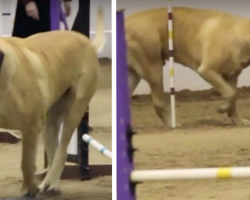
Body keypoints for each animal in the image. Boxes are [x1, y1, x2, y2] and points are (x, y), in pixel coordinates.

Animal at [0, 5, 106, 197]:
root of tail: (88, 42)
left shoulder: (31, 127)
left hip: (74, 110)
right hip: (50, 122)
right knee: (54, 150)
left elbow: (26, 163)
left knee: (62, 150)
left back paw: (51, 183)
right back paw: (50, 182)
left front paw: (29, 189)